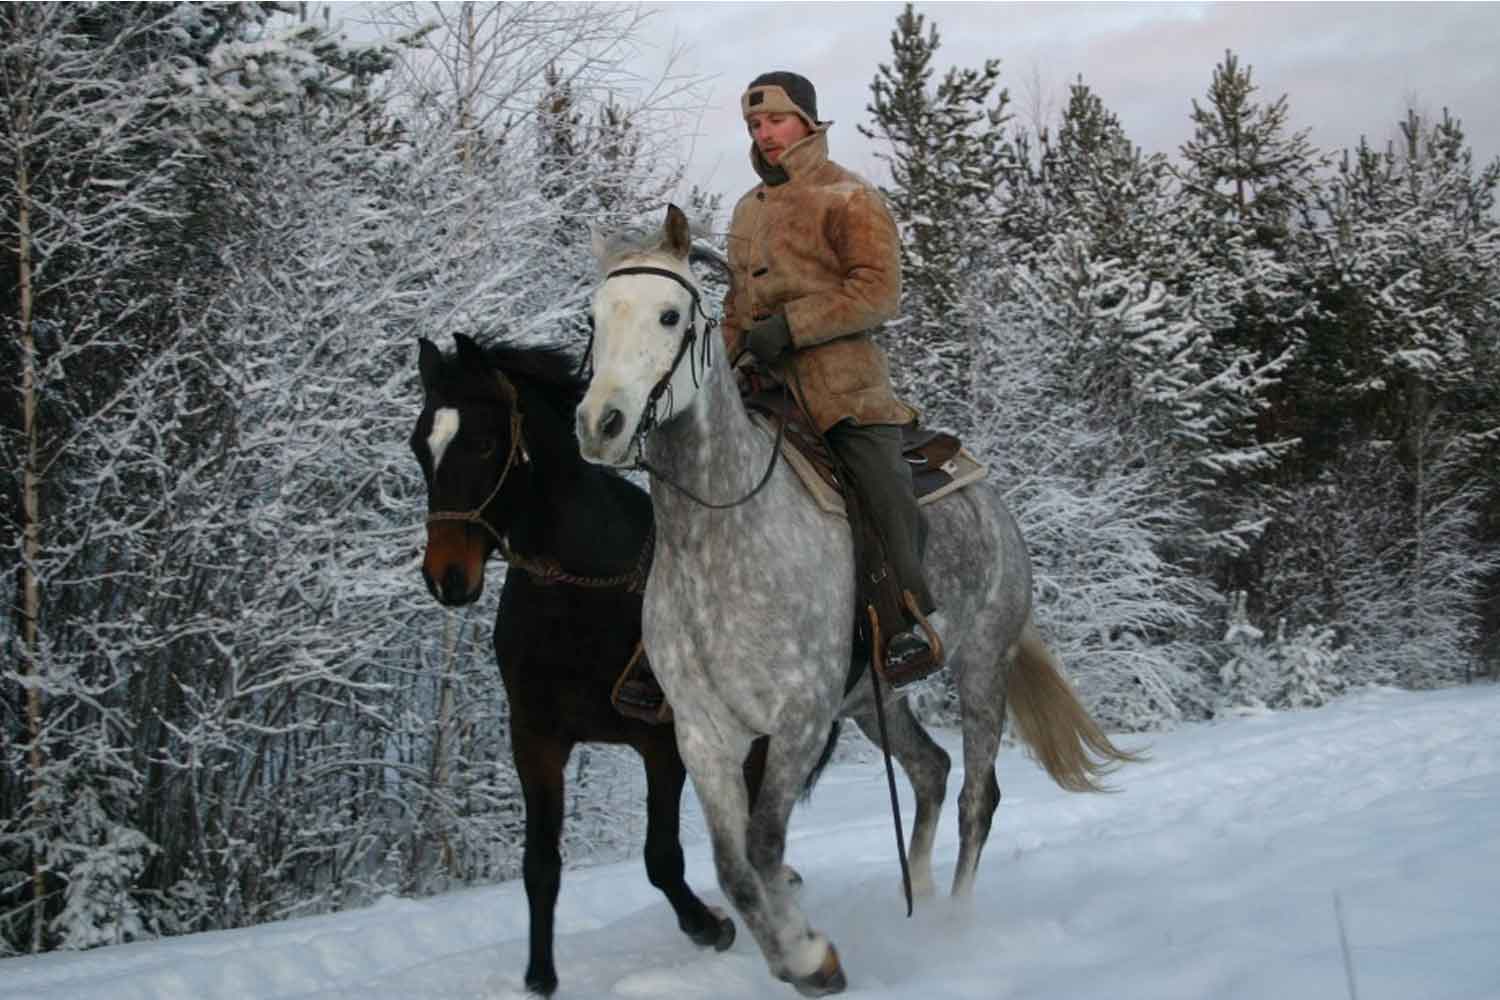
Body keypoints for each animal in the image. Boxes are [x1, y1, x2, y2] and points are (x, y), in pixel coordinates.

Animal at [411, 332, 739, 997]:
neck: (584, 588)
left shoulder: (663, 739)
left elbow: (661, 857)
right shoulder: (536, 740)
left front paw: (709, 926)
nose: (447, 578)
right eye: (419, 445)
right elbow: (540, 865)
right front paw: (540, 975)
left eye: (484, 443)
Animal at [574, 205, 1140, 995]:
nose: (602, 424)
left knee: (977, 797)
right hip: (875, 701)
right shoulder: (705, 734)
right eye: (595, 317)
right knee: (930, 769)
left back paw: (952, 926)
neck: (721, 540)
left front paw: (810, 956)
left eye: (669, 315)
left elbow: (765, 841)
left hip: (982, 666)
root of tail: (991, 499)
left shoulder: (800, 719)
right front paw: (800, 952)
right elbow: (735, 866)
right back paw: (920, 899)